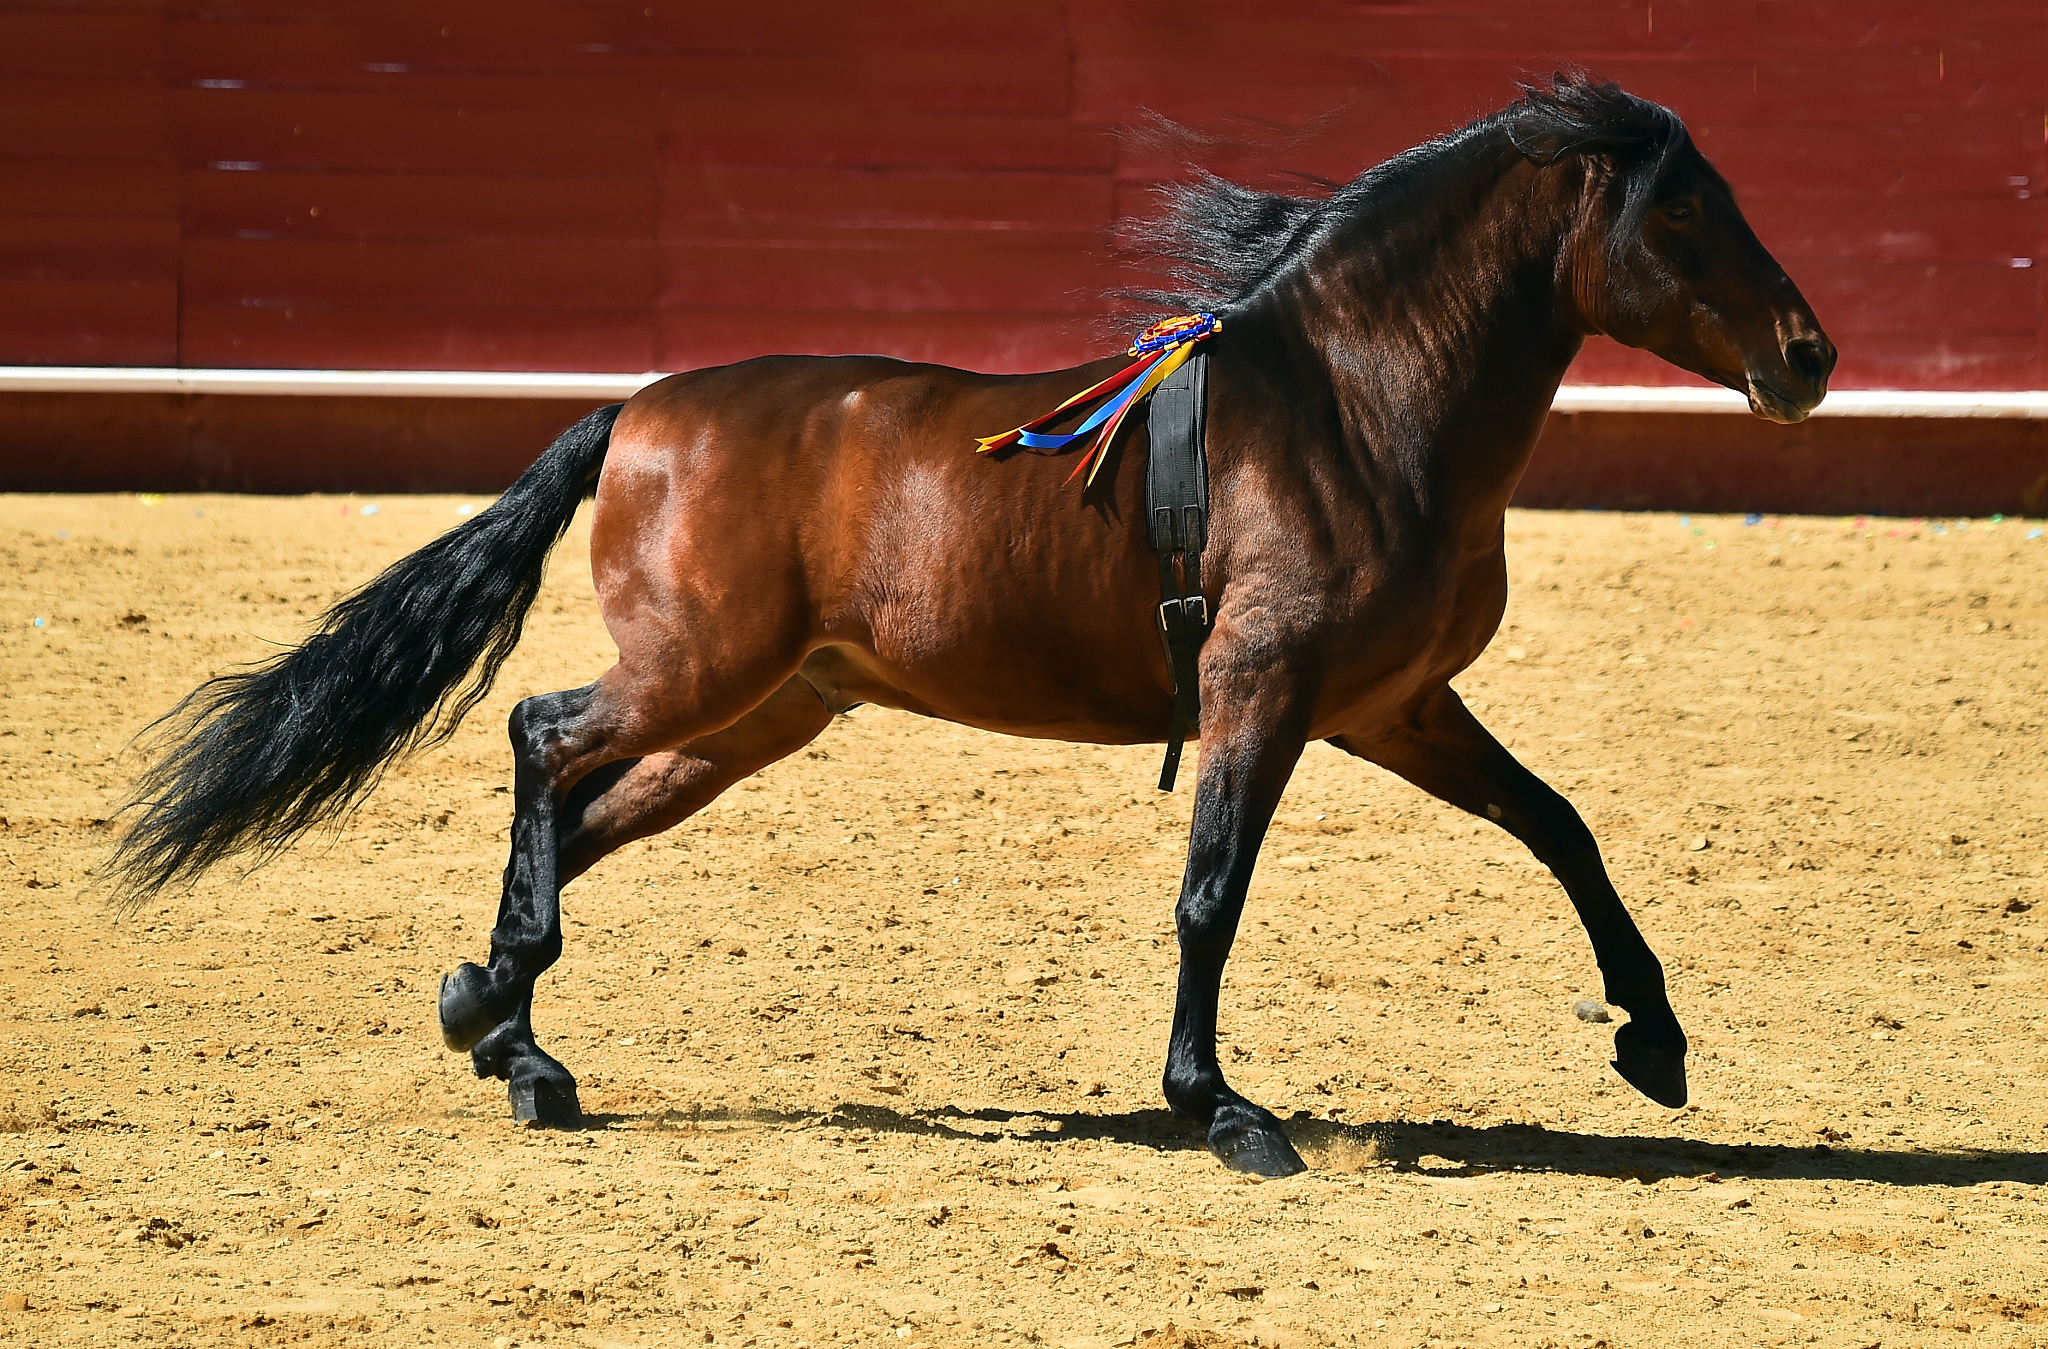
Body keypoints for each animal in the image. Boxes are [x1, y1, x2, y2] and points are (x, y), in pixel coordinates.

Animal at [110, 73, 1833, 1177]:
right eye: (1690, 211)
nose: (1811, 356)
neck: (1355, 405)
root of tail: (638, 413)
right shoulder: (1264, 692)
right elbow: (1212, 896)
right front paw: (1222, 1110)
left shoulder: (1390, 706)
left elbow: (1561, 826)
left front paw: (1657, 1044)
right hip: (698, 673)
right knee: (543, 738)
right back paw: (515, 1030)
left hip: (759, 711)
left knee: (582, 809)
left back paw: (496, 1022)